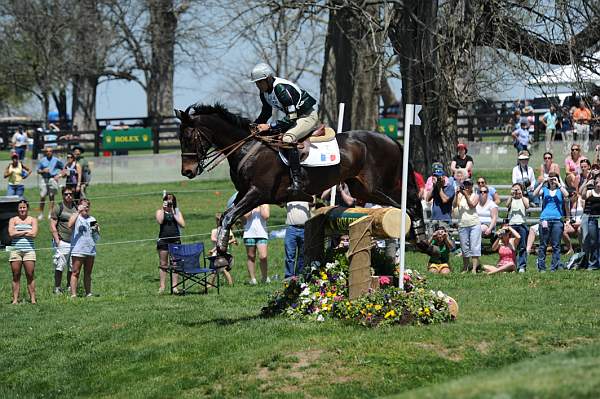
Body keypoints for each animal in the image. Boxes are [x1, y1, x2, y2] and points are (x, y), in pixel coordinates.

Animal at [172, 103, 426, 260]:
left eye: (189, 136)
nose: (187, 171)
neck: (247, 147)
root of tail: (392, 141)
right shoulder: (246, 194)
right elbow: (226, 216)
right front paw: (220, 251)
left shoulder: (257, 193)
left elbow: (228, 217)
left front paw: (222, 253)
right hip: (363, 189)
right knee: (409, 203)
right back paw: (421, 240)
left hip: (380, 187)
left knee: (411, 204)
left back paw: (421, 239)